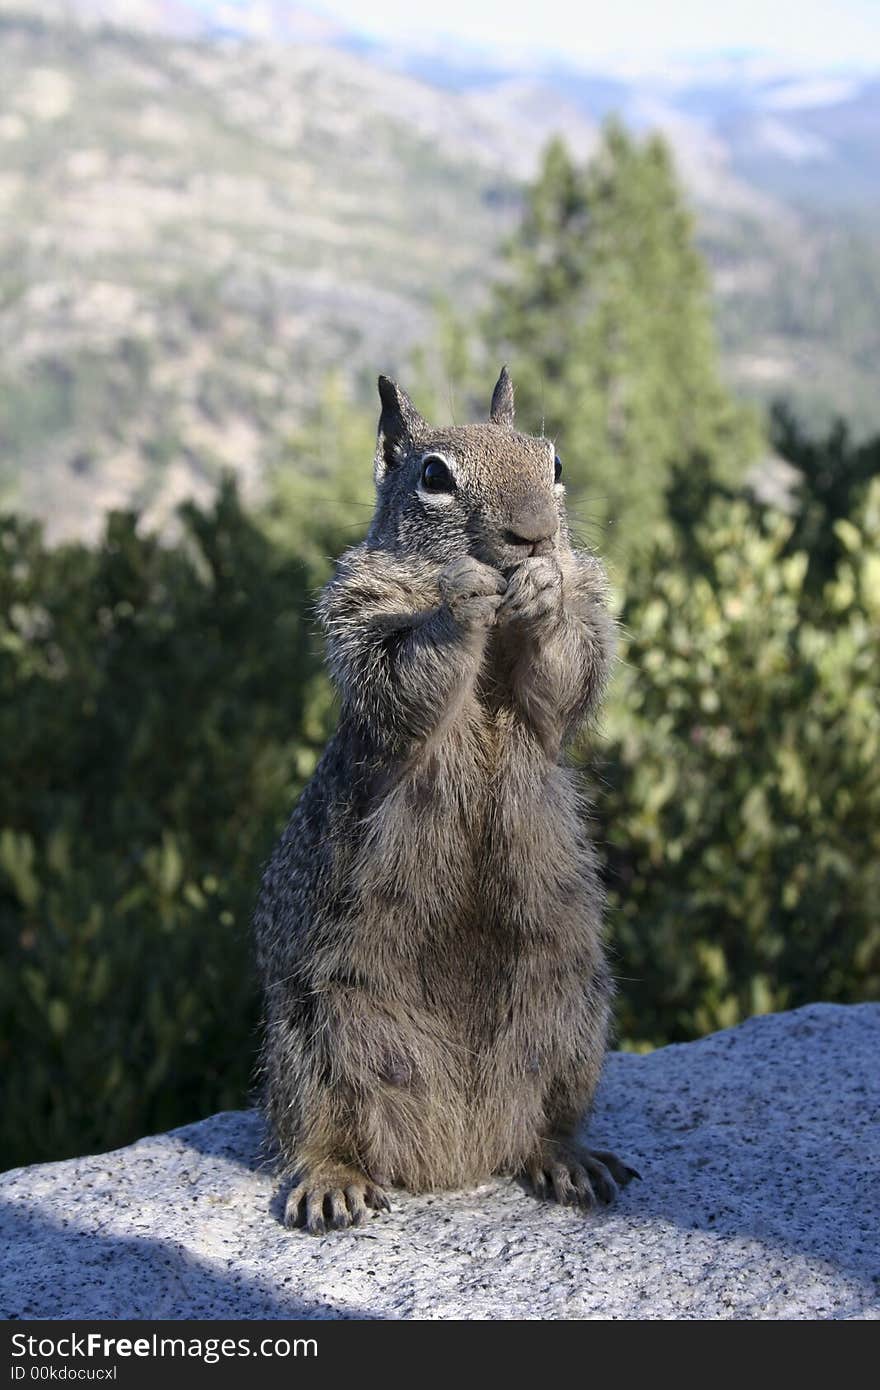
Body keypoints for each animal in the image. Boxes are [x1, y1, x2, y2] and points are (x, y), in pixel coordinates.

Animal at [250, 364, 633, 1234]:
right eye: (434, 476)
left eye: (554, 463)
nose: (533, 535)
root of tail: (459, 1153)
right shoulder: (360, 616)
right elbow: (405, 680)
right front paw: (461, 598)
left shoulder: (579, 641)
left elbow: (567, 678)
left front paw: (546, 591)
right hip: (310, 1037)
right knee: (319, 1129)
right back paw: (332, 1179)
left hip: (573, 1016)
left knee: (545, 1121)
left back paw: (567, 1158)